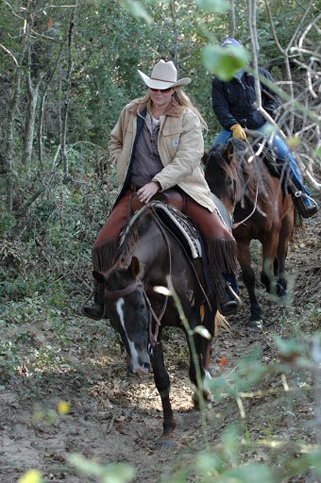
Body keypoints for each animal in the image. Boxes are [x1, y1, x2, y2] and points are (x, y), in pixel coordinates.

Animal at [94, 202, 216, 448]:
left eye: (141, 306)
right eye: (111, 317)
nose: (138, 367)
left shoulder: (190, 321)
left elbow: (194, 367)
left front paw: (203, 399)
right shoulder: (153, 331)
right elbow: (161, 379)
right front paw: (168, 428)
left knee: (208, 335)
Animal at [204, 138, 294, 328]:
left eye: (229, 181)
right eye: (207, 183)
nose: (220, 214)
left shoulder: (271, 234)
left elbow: (265, 271)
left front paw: (275, 289)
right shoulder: (240, 240)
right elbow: (249, 276)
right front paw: (256, 314)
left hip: (287, 220)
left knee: (282, 252)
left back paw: (282, 286)